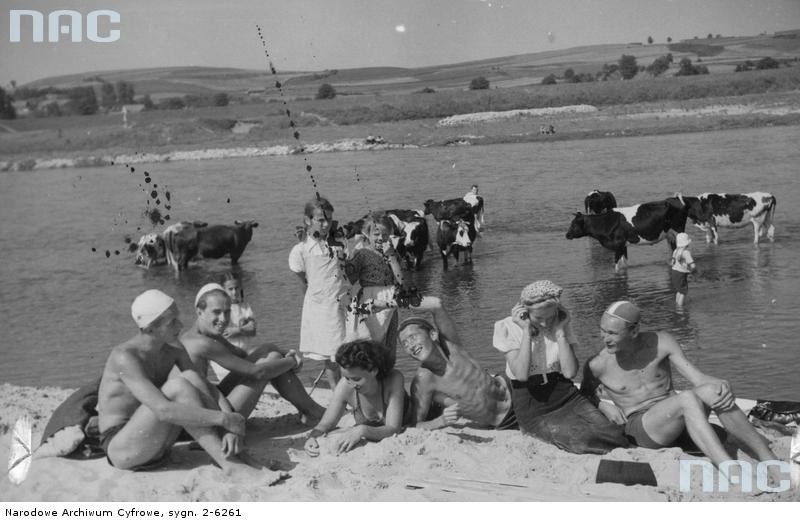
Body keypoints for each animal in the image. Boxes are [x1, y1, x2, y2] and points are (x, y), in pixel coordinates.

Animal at [564, 198, 692, 272]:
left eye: (574, 224)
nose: (567, 235)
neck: (606, 222)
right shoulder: (623, 245)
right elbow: (624, 262)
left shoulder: (618, 244)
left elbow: (616, 264)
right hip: (669, 236)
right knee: (673, 250)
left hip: (678, 231)